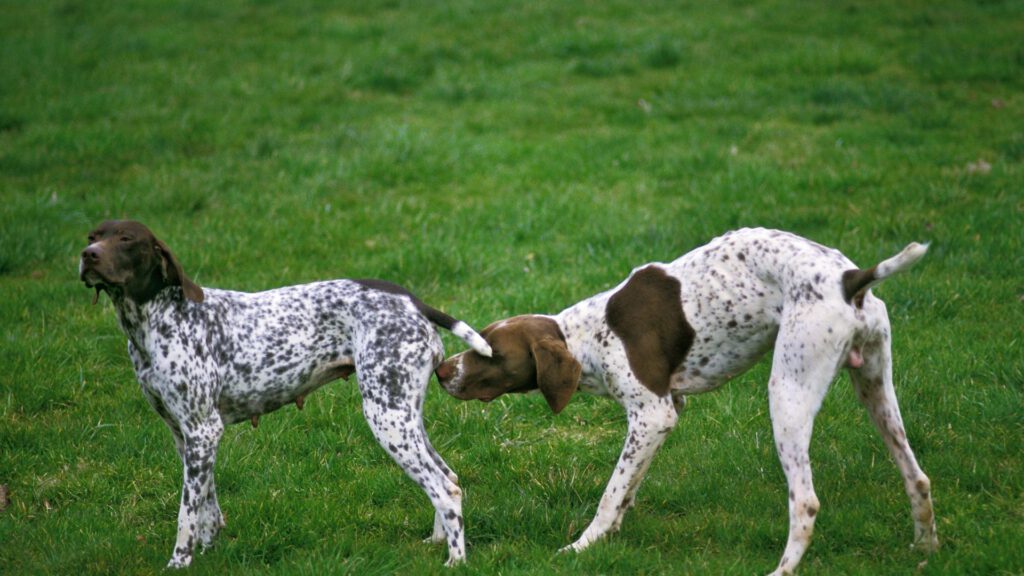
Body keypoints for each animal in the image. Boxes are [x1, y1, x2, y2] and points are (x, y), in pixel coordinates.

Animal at [79, 219, 491, 565]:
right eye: (92, 236)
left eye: (126, 239)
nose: (88, 255)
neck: (157, 320)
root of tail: (411, 301)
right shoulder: (187, 437)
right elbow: (207, 506)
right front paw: (209, 550)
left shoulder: (202, 431)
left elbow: (185, 515)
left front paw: (179, 563)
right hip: (403, 417)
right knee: (448, 477)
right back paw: (437, 541)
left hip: (387, 420)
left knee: (445, 490)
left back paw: (456, 561)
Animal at [436, 226, 937, 569]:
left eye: (490, 353)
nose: (441, 371)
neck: (588, 336)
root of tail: (849, 277)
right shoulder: (665, 413)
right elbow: (628, 488)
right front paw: (612, 534)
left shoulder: (652, 416)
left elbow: (611, 492)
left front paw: (584, 544)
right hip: (875, 390)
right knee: (917, 477)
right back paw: (926, 549)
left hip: (788, 395)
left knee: (805, 502)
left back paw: (782, 570)